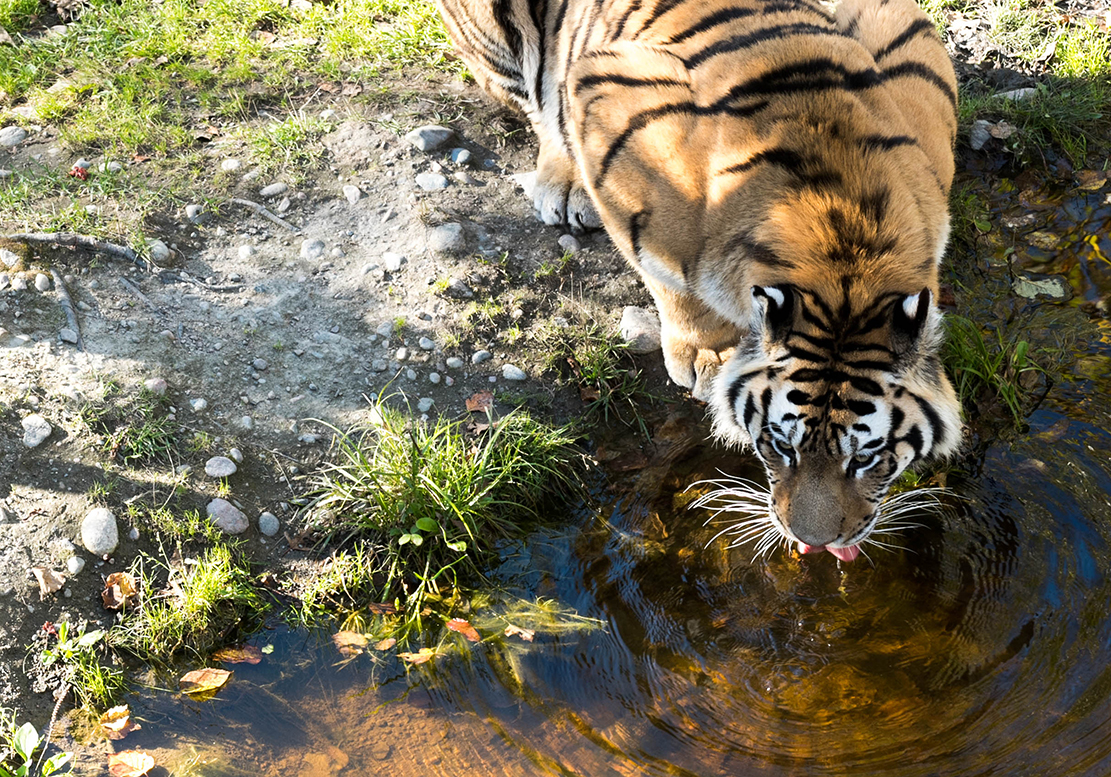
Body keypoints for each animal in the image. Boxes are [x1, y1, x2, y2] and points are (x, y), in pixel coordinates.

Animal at [433, 0, 964, 562]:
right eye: (781, 447)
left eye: (865, 459)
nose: (814, 542)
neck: (845, 246)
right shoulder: (604, 99)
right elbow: (660, 267)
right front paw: (704, 354)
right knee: (539, 109)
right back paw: (564, 183)